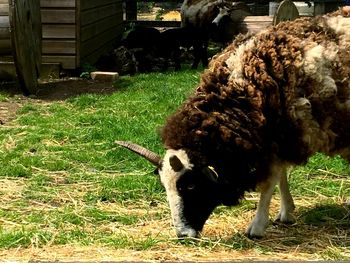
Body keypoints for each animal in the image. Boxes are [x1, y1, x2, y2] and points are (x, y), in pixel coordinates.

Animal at [117, 7, 350, 239]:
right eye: (165, 186)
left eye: (190, 186)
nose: (183, 235)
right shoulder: (276, 138)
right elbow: (281, 176)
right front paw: (286, 213)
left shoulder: (284, 135)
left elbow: (270, 181)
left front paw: (257, 226)